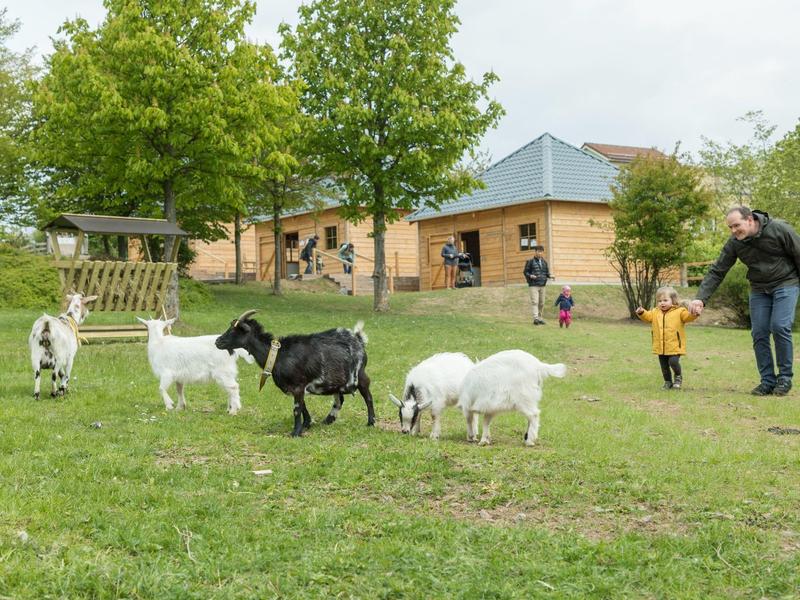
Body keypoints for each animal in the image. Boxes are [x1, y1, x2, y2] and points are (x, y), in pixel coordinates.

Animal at [214, 310, 375, 437]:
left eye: (235, 330)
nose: (217, 341)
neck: (278, 354)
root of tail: (359, 339)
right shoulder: (296, 388)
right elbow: (303, 406)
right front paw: (307, 424)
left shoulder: (298, 385)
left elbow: (297, 409)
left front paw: (296, 432)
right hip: (336, 381)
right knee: (339, 399)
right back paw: (328, 420)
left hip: (360, 375)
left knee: (368, 397)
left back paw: (371, 422)